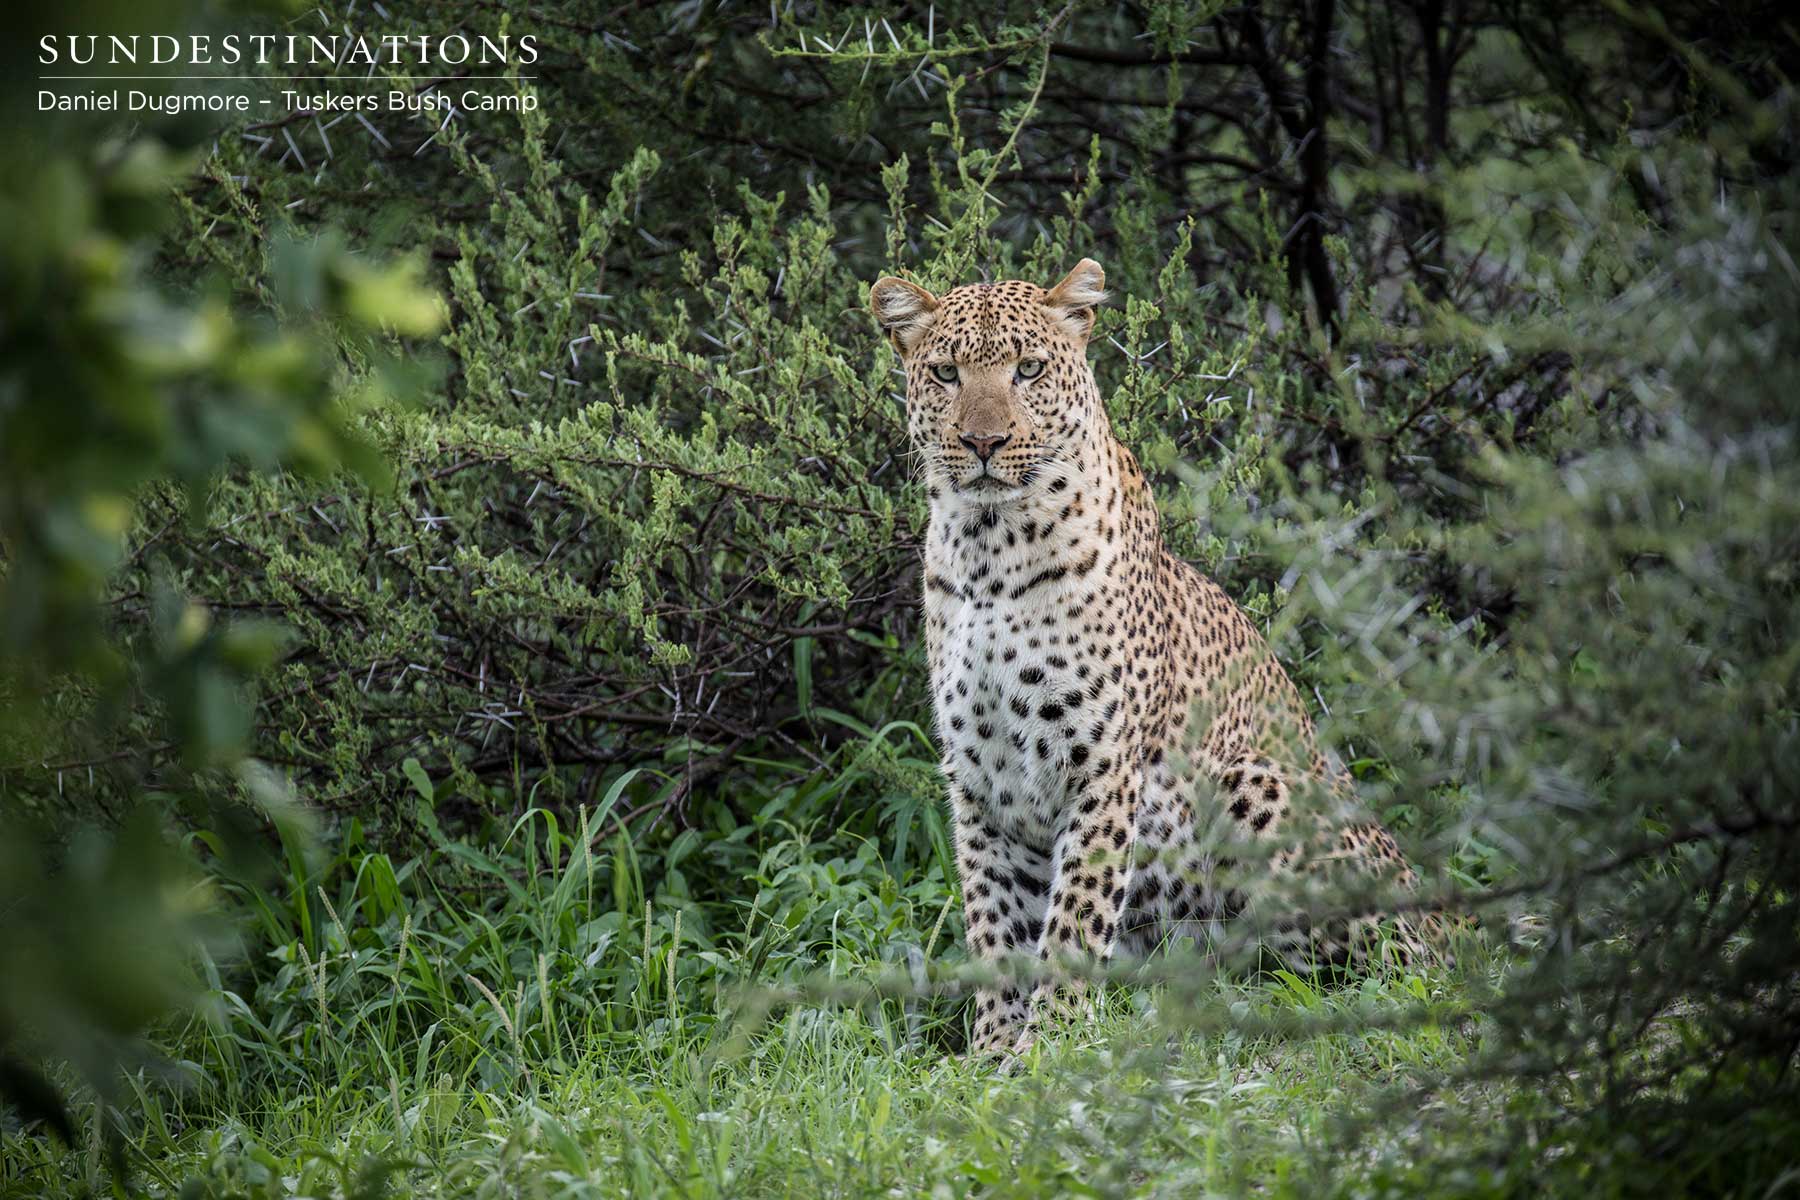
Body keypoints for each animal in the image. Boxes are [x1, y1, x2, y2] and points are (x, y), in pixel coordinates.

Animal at [869, 258, 1443, 1062]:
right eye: (947, 374)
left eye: (1029, 369)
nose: (984, 442)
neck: (987, 549)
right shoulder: (980, 779)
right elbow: (994, 921)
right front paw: (991, 1053)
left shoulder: (1100, 763)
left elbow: (1073, 918)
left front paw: (1050, 1047)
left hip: (1256, 788)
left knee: (1403, 960)